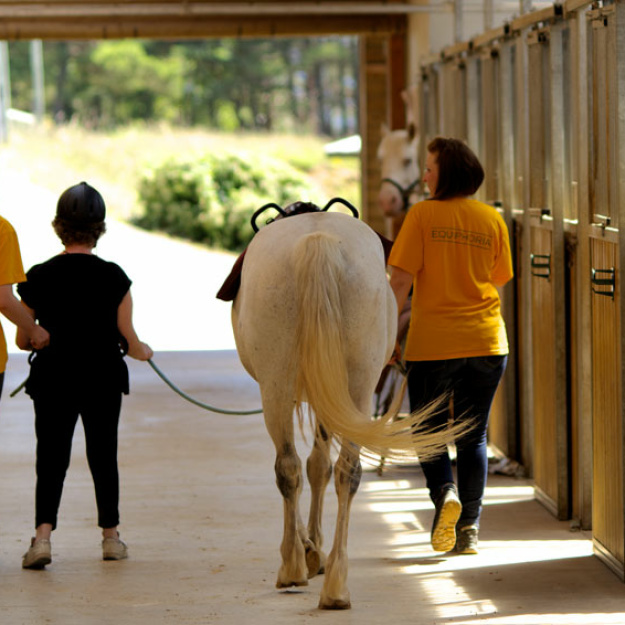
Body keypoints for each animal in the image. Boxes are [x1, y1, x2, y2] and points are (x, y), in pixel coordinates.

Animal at [232, 210, 456, 608]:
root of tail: (318, 241)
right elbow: (320, 466)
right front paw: (314, 549)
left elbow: (310, 467)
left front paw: (308, 549)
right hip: (358, 386)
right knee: (345, 471)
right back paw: (336, 584)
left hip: (276, 386)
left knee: (287, 467)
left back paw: (292, 567)